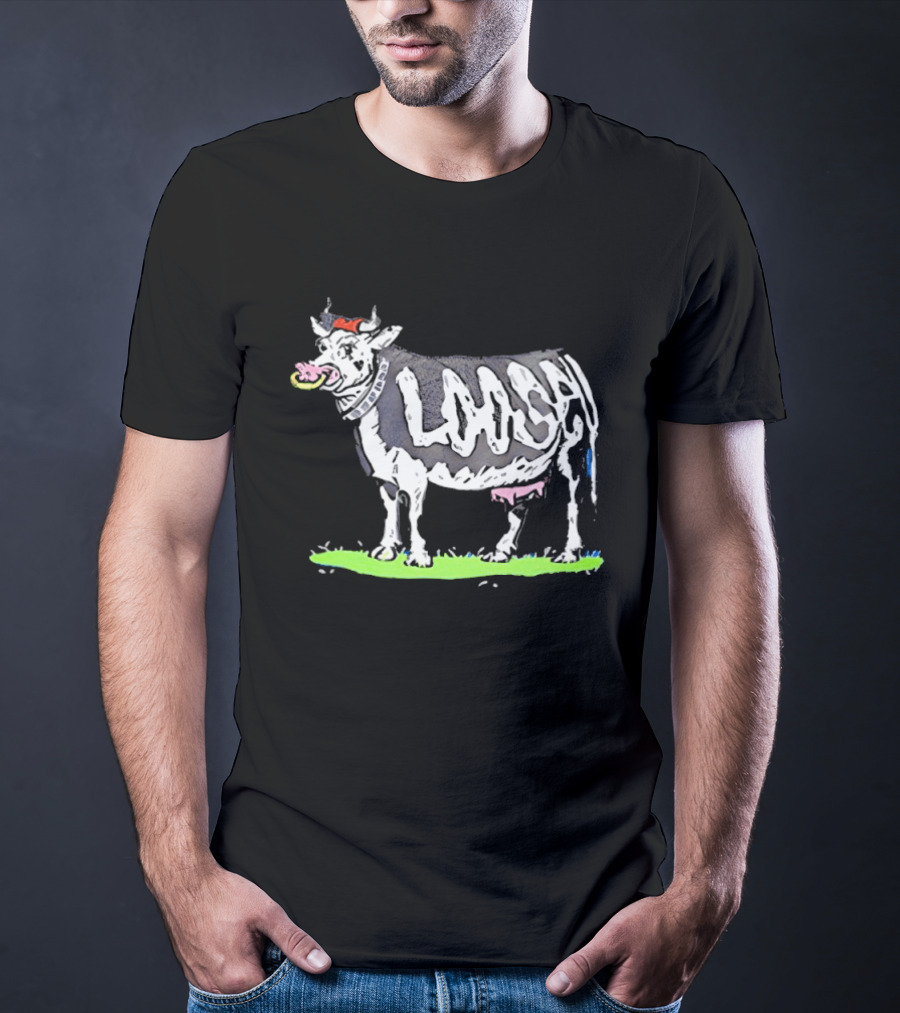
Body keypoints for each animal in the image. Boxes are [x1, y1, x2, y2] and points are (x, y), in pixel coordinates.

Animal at [291, 299, 599, 568]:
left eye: (349, 348)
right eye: (321, 345)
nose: (311, 369)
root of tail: (560, 355)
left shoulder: (414, 467)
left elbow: (414, 513)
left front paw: (417, 558)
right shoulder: (383, 471)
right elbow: (390, 510)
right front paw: (386, 550)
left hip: (573, 448)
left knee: (574, 498)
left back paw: (569, 554)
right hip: (525, 463)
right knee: (519, 504)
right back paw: (500, 553)